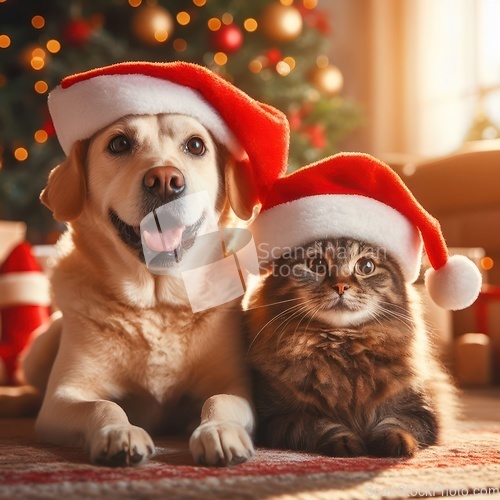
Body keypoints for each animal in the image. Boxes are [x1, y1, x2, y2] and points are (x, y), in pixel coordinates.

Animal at [243, 237, 458, 458]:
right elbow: (318, 426)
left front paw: (395, 443)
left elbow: (396, 424)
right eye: (316, 265)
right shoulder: (279, 417)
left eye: (366, 266)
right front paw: (346, 443)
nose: (340, 286)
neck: (343, 347)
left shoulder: (420, 412)